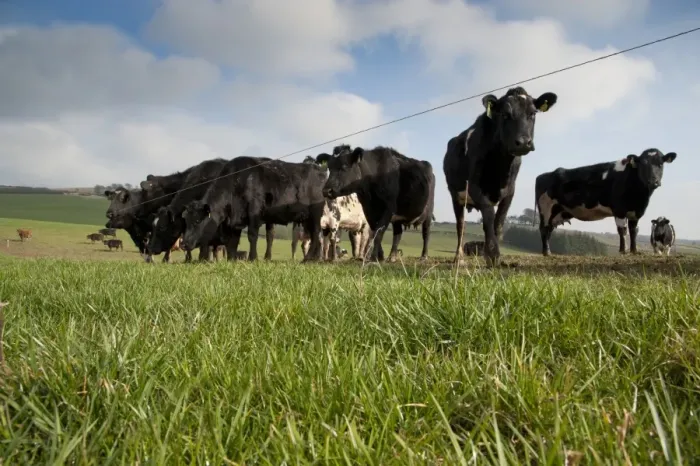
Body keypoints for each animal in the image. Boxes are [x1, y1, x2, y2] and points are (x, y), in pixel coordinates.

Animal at [181, 156, 327, 262]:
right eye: (186, 221)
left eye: (197, 221)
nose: (183, 244)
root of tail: (320, 171)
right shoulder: (236, 219)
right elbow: (233, 241)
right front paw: (231, 260)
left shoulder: (254, 211)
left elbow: (252, 235)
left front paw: (253, 258)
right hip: (306, 218)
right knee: (315, 236)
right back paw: (314, 259)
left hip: (316, 213)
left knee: (316, 233)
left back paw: (308, 259)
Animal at [443, 86, 558, 266]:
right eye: (504, 114)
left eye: (533, 113)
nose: (523, 142)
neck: (500, 165)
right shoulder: (475, 187)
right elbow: (489, 217)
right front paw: (492, 254)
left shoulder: (510, 191)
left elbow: (498, 222)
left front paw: (491, 255)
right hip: (456, 195)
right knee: (460, 225)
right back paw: (458, 258)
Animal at [535, 148, 677, 256]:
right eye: (643, 164)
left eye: (660, 164)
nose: (653, 181)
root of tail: (543, 175)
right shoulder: (619, 210)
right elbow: (622, 230)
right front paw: (623, 250)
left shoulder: (635, 213)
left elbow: (633, 231)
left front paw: (634, 251)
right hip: (546, 209)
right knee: (544, 229)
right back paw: (546, 252)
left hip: (557, 212)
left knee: (549, 230)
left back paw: (547, 252)